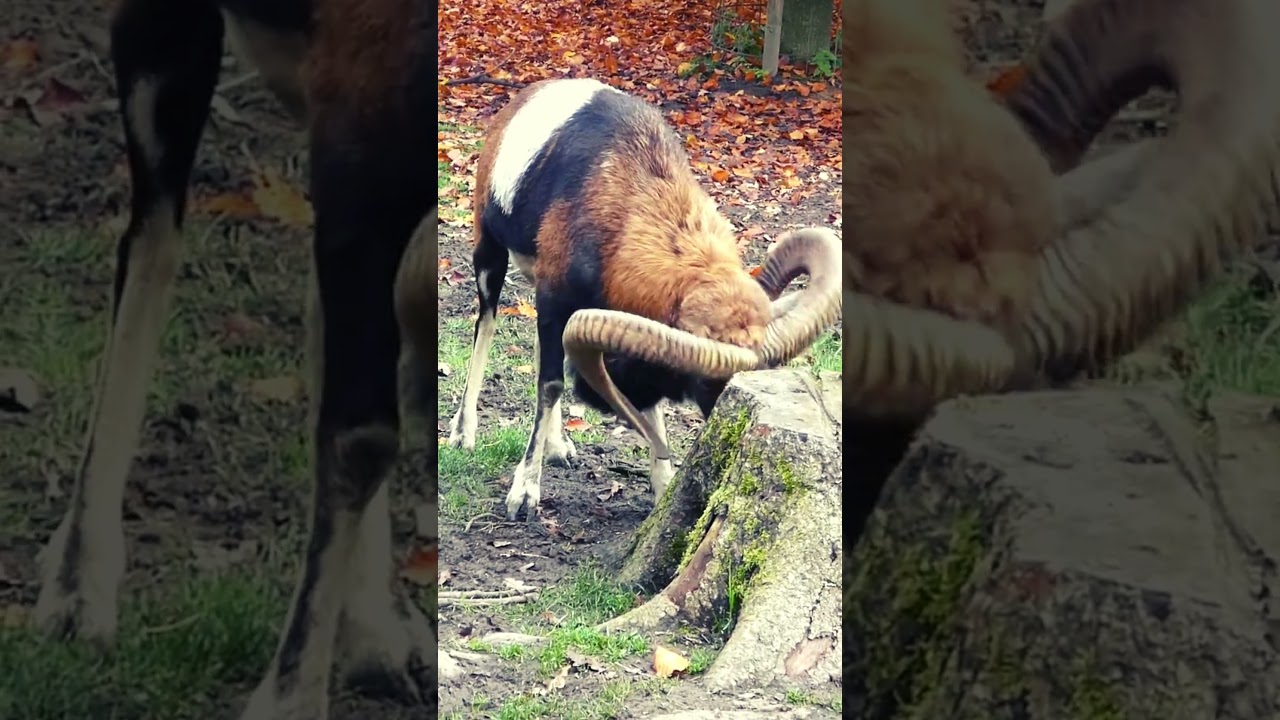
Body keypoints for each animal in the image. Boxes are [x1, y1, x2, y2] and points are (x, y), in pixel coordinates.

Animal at [32, 1, 443, 719]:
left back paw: (381, 637)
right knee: (149, 245)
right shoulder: (362, 133)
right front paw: (287, 702)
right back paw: (76, 594)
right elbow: (361, 438)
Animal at [444, 78, 841, 521]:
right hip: (488, 255)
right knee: (486, 324)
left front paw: (662, 486)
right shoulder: (556, 299)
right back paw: (463, 434)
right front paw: (524, 493)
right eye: (708, 382)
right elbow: (551, 384)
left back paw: (560, 447)